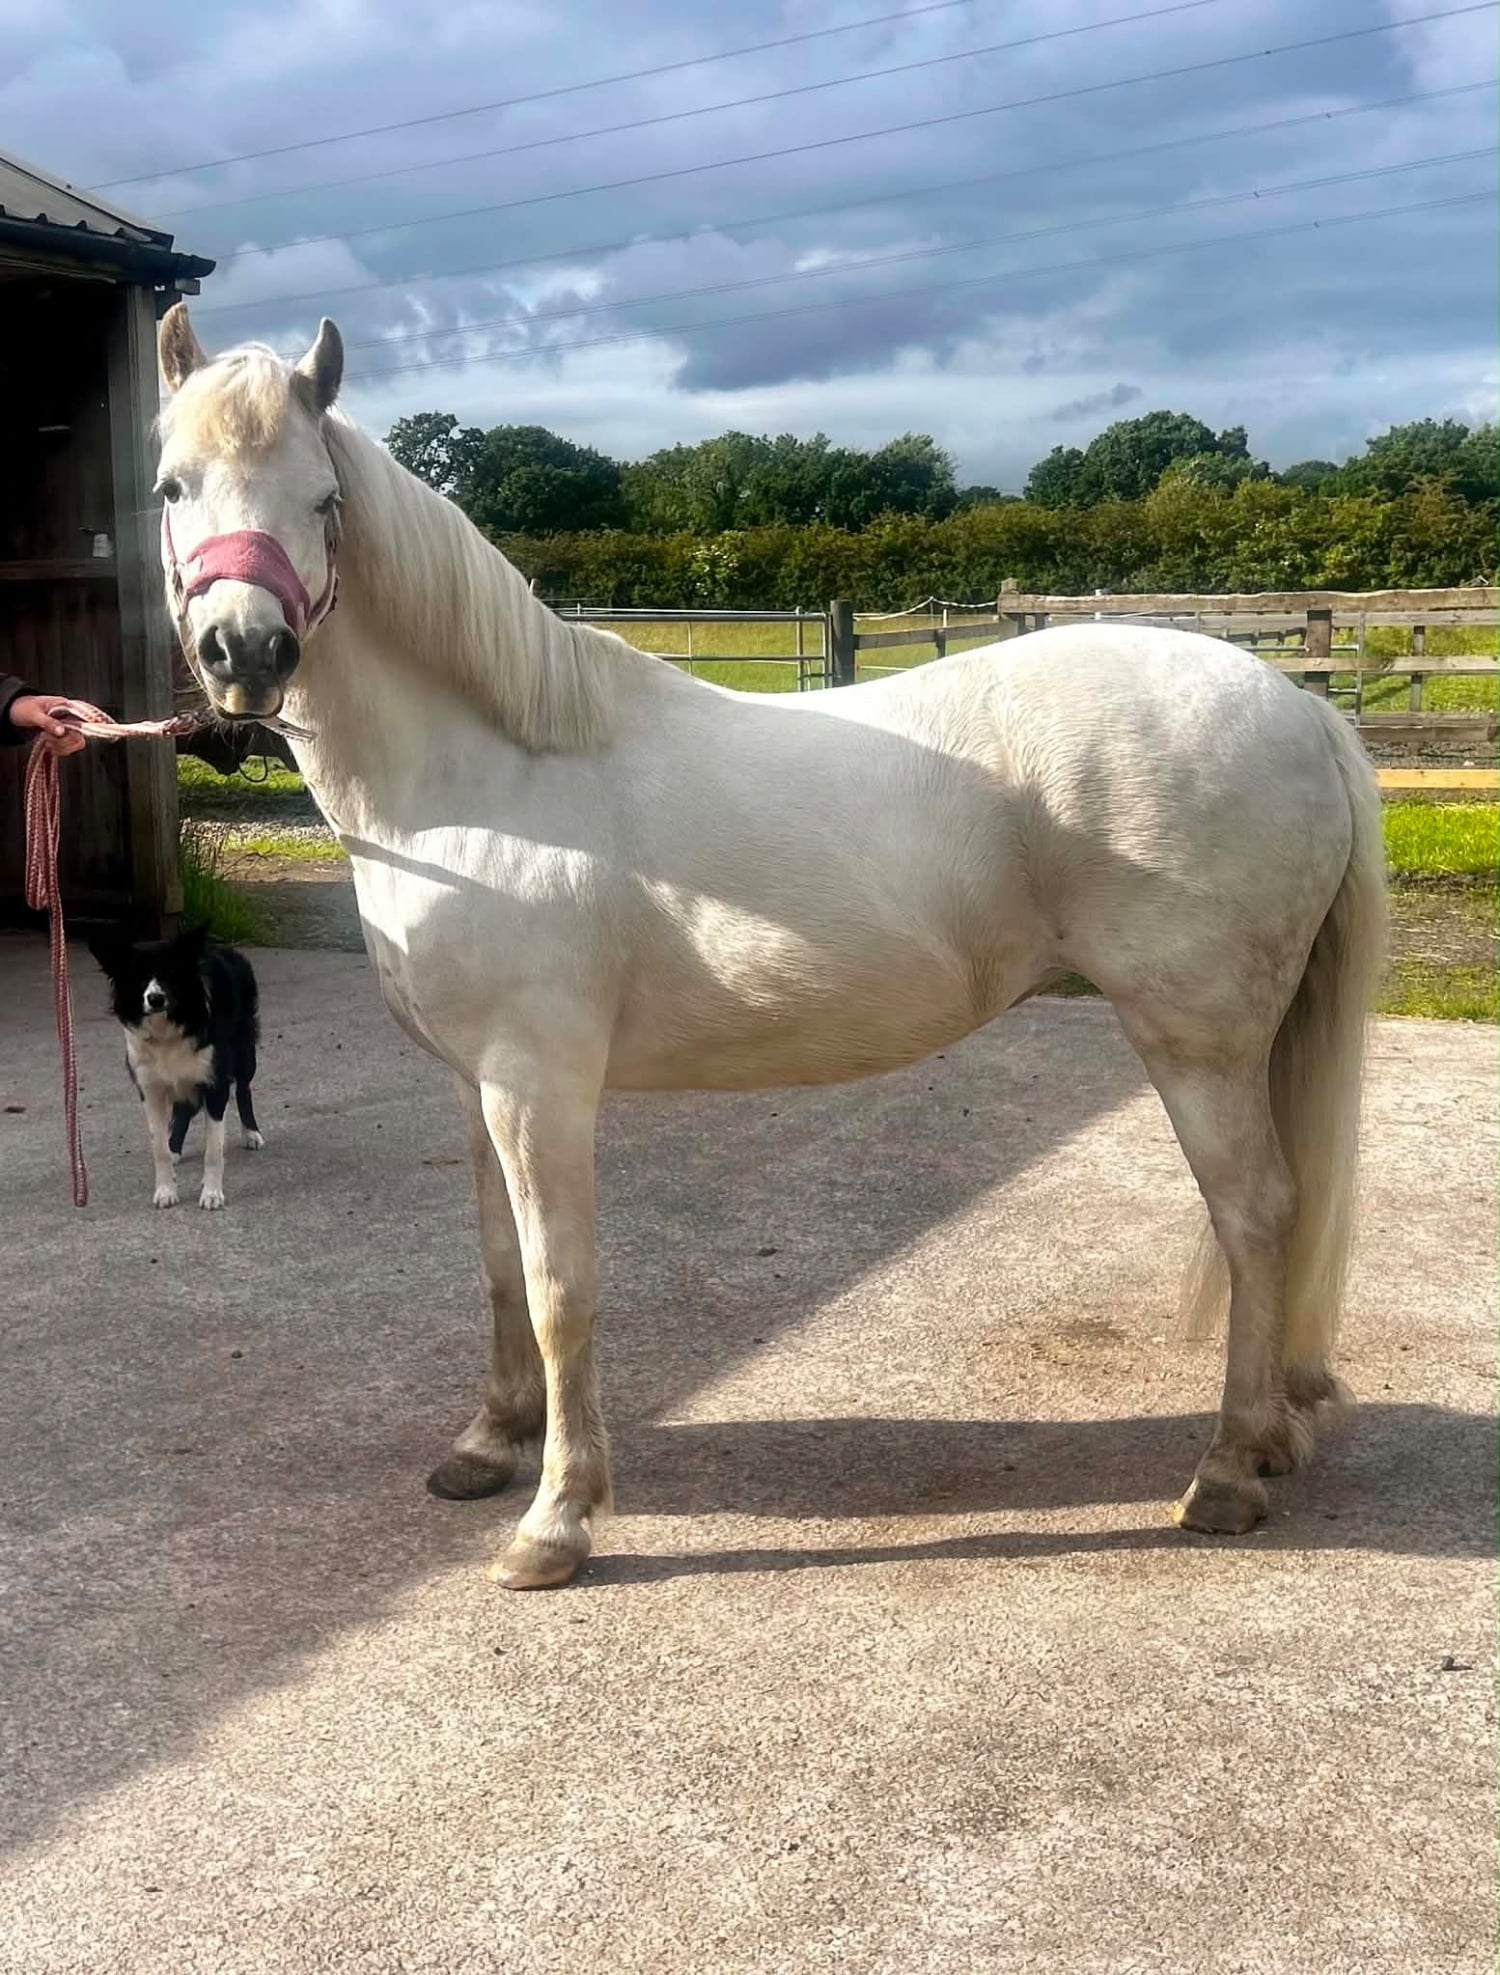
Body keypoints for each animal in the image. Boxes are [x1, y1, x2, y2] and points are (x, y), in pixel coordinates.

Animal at [151, 303, 1386, 1591]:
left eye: (322, 500)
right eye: (172, 486)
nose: (245, 652)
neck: (486, 777)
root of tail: (1303, 708)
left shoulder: (541, 1088)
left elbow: (558, 1288)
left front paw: (557, 1518)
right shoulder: (475, 1083)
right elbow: (496, 1265)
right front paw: (491, 1443)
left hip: (1197, 1043)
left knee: (1257, 1215)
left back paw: (1229, 1471)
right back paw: (1272, 1434)